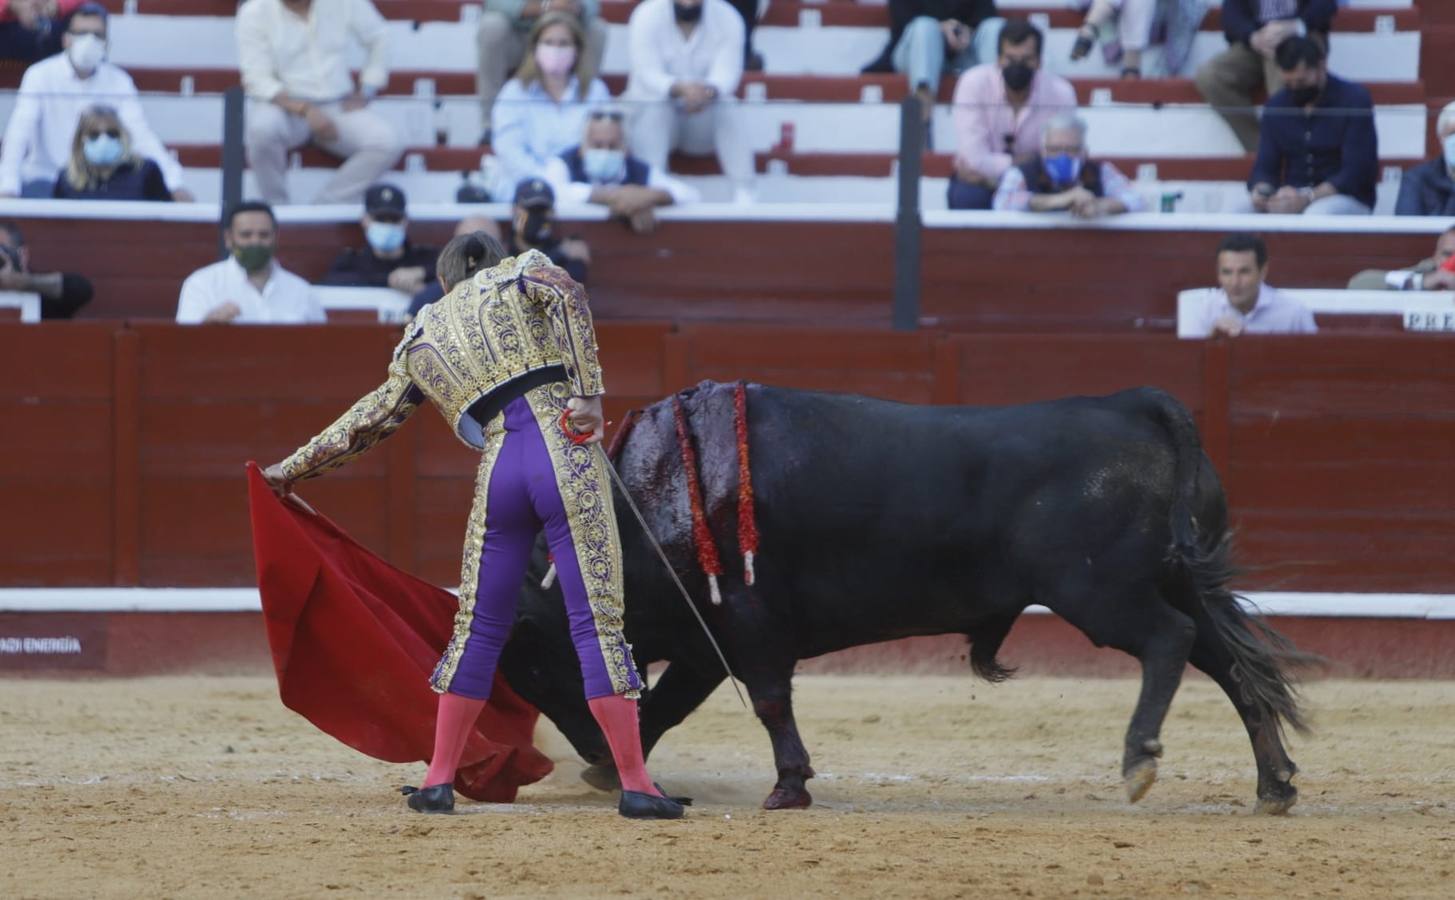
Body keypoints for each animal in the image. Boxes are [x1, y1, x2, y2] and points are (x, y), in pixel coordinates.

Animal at [494, 380, 1315, 814]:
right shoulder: (707, 643)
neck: (650, 496)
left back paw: (1139, 760)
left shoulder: (750, 631)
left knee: (1168, 642)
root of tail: (1135, 402)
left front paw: (787, 788)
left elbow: (768, 704)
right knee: (1232, 668)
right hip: (1168, 582)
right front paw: (617, 771)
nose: (587, 746)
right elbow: (666, 706)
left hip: (1100, 593)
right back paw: (1273, 785)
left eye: (531, 663)